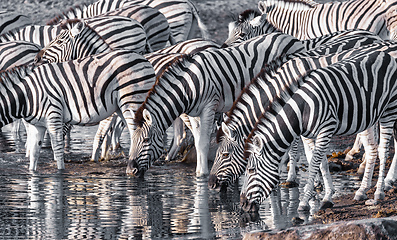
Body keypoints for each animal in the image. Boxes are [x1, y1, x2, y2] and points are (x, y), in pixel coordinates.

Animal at [0, 50, 158, 171]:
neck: (27, 94)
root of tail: (144, 59)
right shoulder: (37, 125)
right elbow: (34, 153)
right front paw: (32, 174)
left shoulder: (53, 116)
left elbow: (58, 150)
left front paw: (60, 173)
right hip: (120, 107)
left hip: (133, 101)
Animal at [207, 30, 384, 192]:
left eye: (225, 155)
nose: (211, 184)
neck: (281, 86)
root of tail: (372, 35)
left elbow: (297, 151)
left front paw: (292, 178)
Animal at [240, 48, 397, 212]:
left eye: (250, 170)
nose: (242, 204)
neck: (301, 109)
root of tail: (384, 54)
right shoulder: (311, 134)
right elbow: (321, 162)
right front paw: (327, 197)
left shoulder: (326, 128)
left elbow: (314, 162)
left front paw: (304, 201)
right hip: (367, 118)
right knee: (372, 150)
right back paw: (362, 191)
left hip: (390, 109)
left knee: (383, 150)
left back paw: (379, 192)